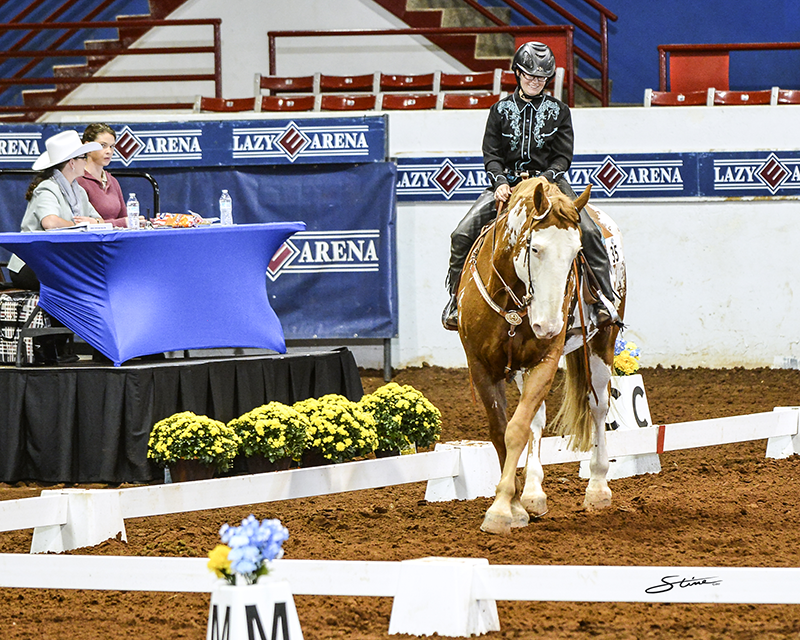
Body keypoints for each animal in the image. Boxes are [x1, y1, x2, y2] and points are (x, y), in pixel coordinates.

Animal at [456, 175, 624, 536]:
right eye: (535, 248)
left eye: (577, 252)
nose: (548, 326)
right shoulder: (481, 367)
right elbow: (502, 432)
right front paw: (518, 504)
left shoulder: (544, 361)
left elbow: (516, 430)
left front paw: (501, 510)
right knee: (537, 419)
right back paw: (534, 493)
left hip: (602, 344)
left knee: (598, 406)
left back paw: (598, 488)